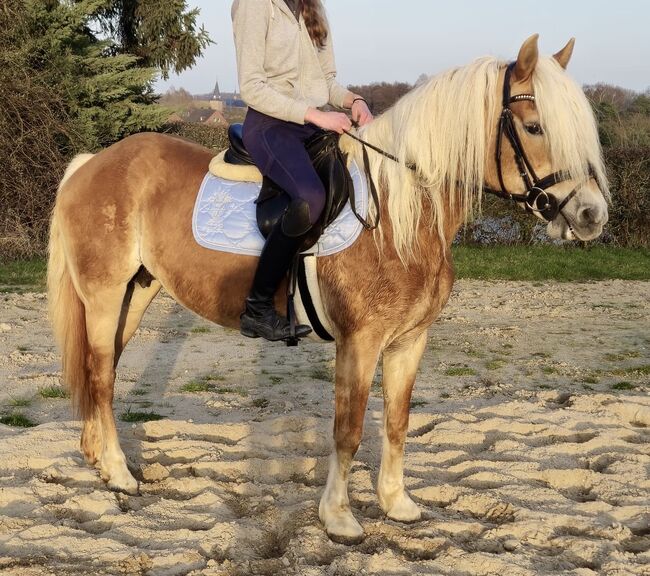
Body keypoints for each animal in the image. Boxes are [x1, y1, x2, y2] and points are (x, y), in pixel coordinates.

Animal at [47, 35, 608, 543]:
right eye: (534, 127)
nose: (591, 215)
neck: (400, 217)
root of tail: (93, 162)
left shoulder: (409, 341)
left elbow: (397, 422)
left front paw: (396, 503)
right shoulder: (360, 342)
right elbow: (349, 428)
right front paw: (339, 518)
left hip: (137, 293)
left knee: (105, 372)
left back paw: (100, 460)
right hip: (104, 296)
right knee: (100, 376)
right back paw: (120, 474)